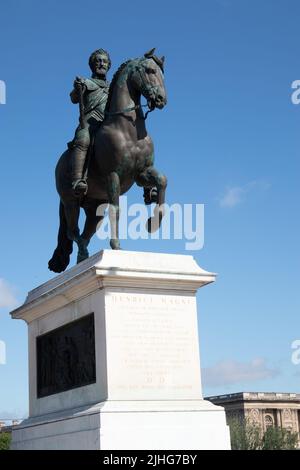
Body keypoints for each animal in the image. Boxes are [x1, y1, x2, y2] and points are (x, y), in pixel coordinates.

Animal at [48, 49, 168, 274]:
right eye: (149, 71)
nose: (161, 99)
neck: (128, 129)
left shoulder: (142, 173)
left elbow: (162, 181)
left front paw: (153, 223)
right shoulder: (113, 175)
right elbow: (116, 210)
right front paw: (116, 246)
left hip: (95, 207)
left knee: (85, 233)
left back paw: (82, 259)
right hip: (70, 201)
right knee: (72, 232)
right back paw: (84, 255)